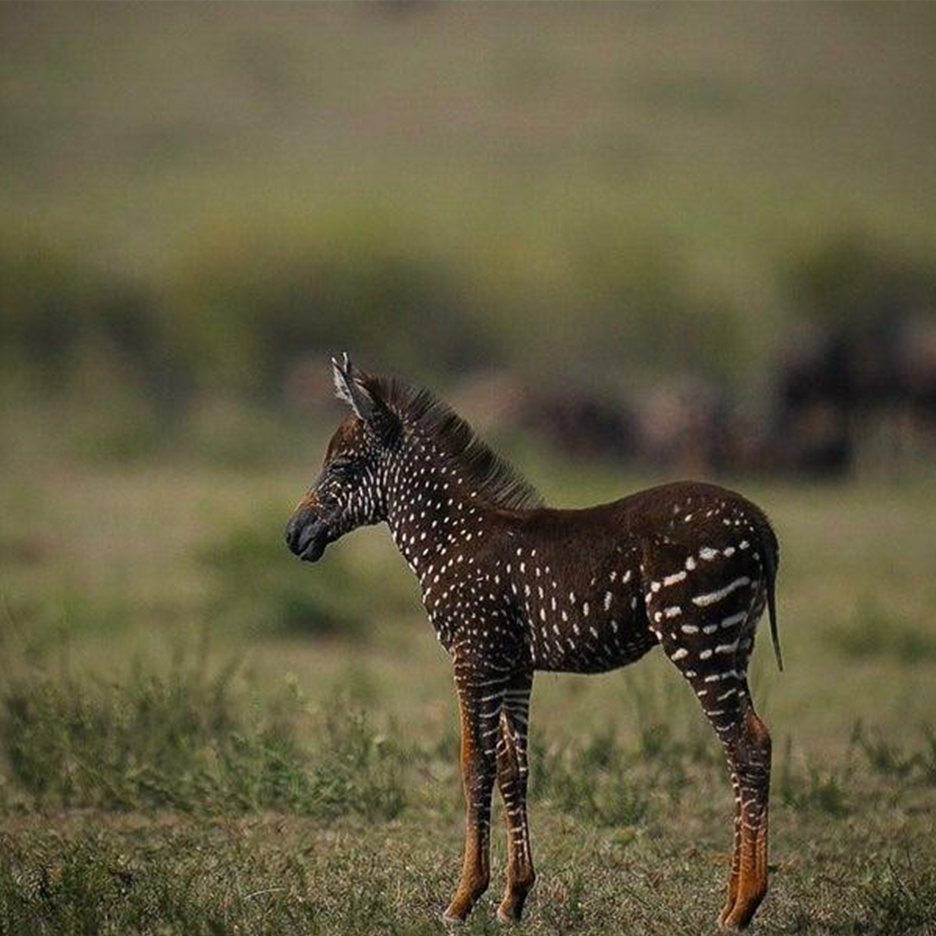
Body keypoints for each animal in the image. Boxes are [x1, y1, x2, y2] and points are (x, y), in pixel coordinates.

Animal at [286, 356, 784, 928]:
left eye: (342, 468)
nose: (292, 535)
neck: (450, 537)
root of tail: (759, 522)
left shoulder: (473, 655)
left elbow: (473, 764)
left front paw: (463, 899)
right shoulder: (513, 664)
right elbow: (513, 768)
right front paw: (513, 897)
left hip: (699, 641)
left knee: (749, 744)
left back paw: (744, 906)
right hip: (733, 644)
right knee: (740, 750)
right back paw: (729, 901)